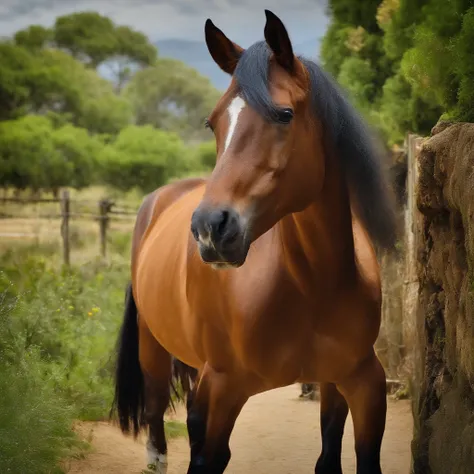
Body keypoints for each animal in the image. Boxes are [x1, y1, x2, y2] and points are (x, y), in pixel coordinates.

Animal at [109, 8, 398, 474]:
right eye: (213, 123)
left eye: (285, 114)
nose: (210, 227)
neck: (311, 285)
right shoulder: (224, 388)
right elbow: (206, 454)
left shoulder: (360, 383)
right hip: (154, 349)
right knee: (156, 408)